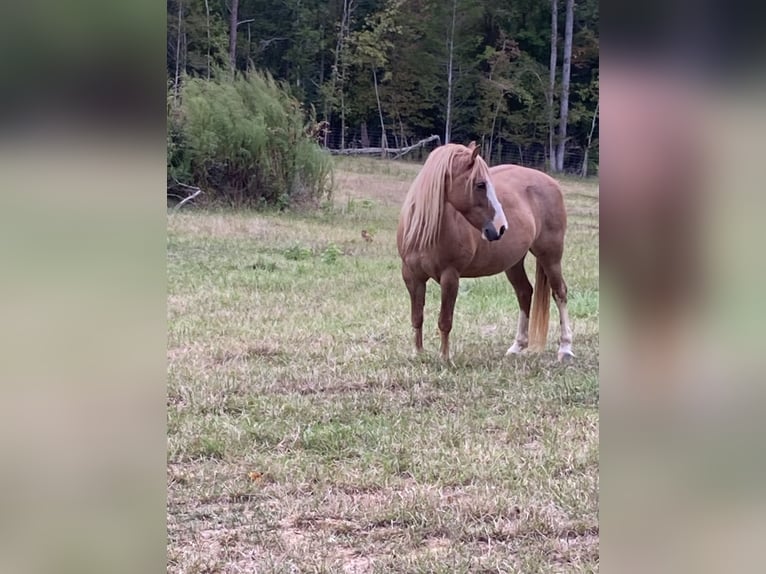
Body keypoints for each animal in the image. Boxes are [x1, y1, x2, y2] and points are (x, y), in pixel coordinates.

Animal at [400, 142, 572, 362]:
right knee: (525, 293)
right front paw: (418, 353)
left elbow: (445, 320)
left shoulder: (450, 276)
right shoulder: (412, 276)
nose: (500, 227)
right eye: (480, 184)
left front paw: (445, 358)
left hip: (550, 256)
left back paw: (565, 348)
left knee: (559, 293)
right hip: (514, 262)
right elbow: (417, 317)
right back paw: (517, 346)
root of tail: (552, 183)